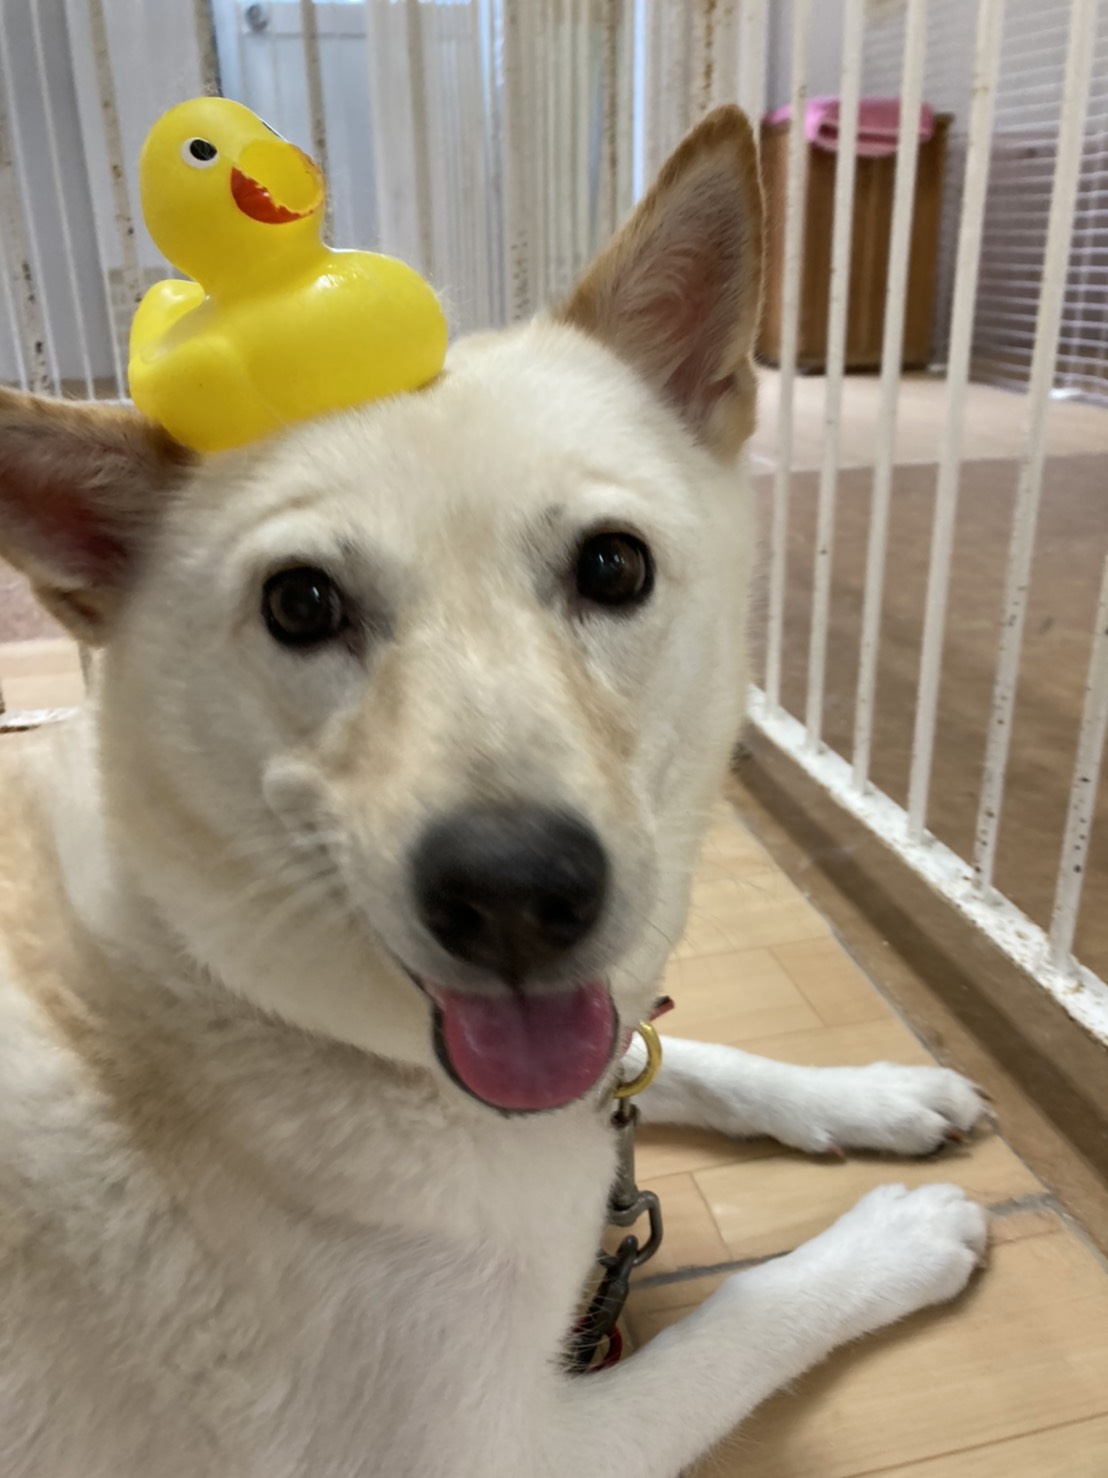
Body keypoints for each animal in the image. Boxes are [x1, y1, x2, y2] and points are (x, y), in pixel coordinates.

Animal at [0, 107, 987, 1477]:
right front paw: (890, 1238)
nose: (517, 893)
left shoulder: (594, 1055)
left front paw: (875, 1093)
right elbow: (741, 1309)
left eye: (613, 566)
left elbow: (676, 1050)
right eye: (300, 602)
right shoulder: (505, 1447)